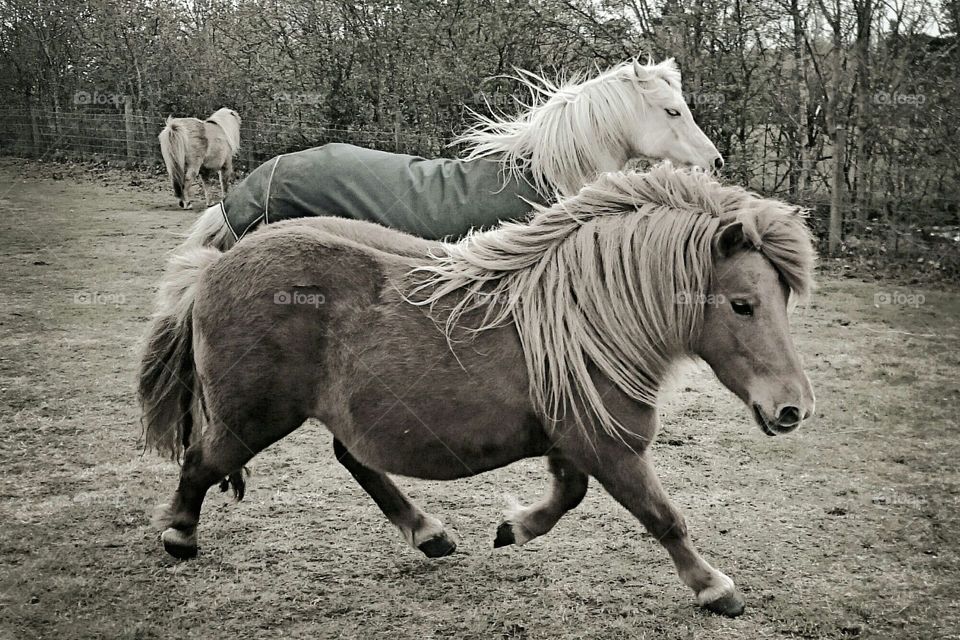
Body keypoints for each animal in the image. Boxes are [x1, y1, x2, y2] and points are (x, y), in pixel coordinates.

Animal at [141, 164, 816, 616]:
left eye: (784, 299)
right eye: (742, 304)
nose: (793, 408)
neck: (586, 317)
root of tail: (215, 267)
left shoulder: (572, 444)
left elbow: (568, 497)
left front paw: (513, 528)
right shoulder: (611, 449)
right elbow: (664, 516)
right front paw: (714, 587)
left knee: (353, 459)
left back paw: (428, 533)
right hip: (251, 419)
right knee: (201, 462)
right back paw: (180, 534)